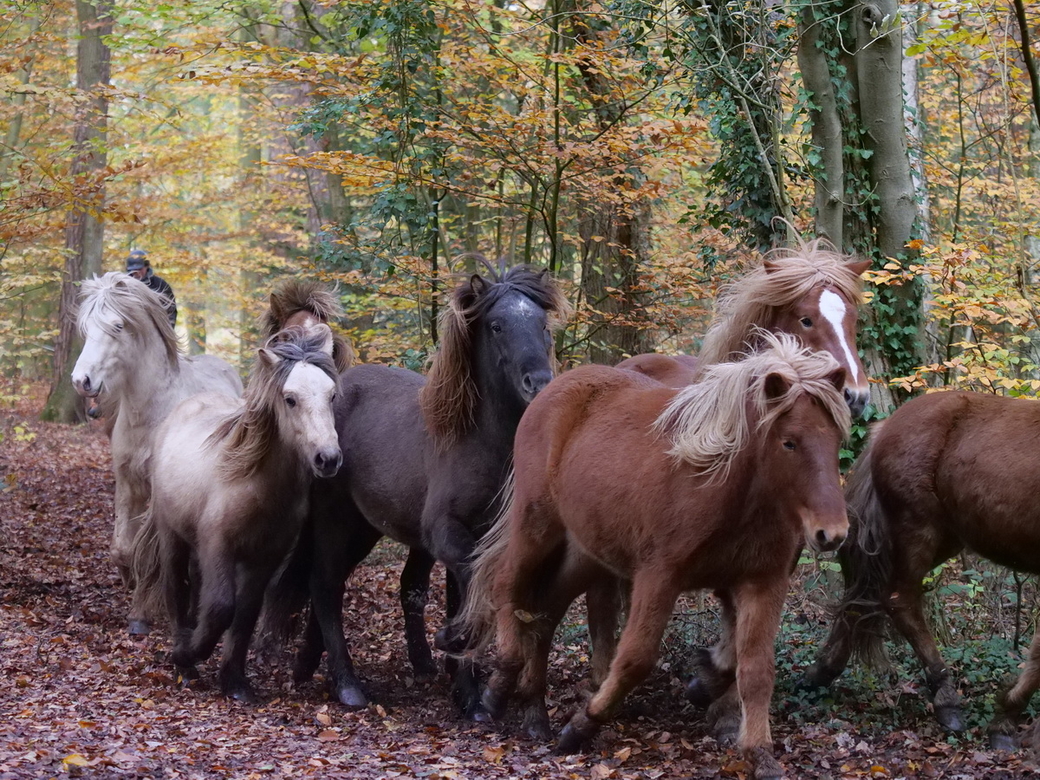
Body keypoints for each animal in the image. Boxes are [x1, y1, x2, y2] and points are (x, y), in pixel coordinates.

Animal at [71, 272, 241, 632]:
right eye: (86, 327)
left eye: (117, 325)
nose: (81, 380)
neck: (149, 415)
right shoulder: (127, 483)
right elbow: (124, 548)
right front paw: (130, 582)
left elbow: (151, 552)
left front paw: (141, 614)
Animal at [129, 324, 341, 703]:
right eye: (290, 399)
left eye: (331, 396)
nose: (328, 459)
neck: (253, 484)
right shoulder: (219, 547)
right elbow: (220, 608)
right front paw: (186, 655)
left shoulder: (263, 559)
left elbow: (244, 614)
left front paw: (235, 681)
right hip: (172, 538)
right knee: (176, 587)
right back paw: (184, 657)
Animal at [264, 266, 569, 719]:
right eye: (496, 325)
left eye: (542, 325)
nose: (540, 382)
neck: (476, 441)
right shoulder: (446, 532)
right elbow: (471, 587)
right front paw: (456, 654)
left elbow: (461, 596)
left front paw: (466, 690)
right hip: (337, 520)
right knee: (326, 584)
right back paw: (347, 684)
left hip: (366, 527)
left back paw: (308, 665)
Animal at [461, 334, 852, 780]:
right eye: (789, 441)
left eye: (836, 440)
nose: (832, 533)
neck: (730, 488)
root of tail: (553, 390)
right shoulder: (658, 576)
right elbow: (635, 658)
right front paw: (583, 724)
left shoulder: (762, 582)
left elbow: (755, 670)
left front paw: (759, 752)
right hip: (537, 526)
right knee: (507, 584)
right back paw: (498, 690)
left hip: (586, 553)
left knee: (545, 612)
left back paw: (533, 712)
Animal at [802, 393, 1040, 752]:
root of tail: (887, 425)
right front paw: (1005, 722)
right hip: (918, 529)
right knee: (900, 601)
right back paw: (946, 700)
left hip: (945, 538)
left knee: (867, 594)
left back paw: (822, 673)